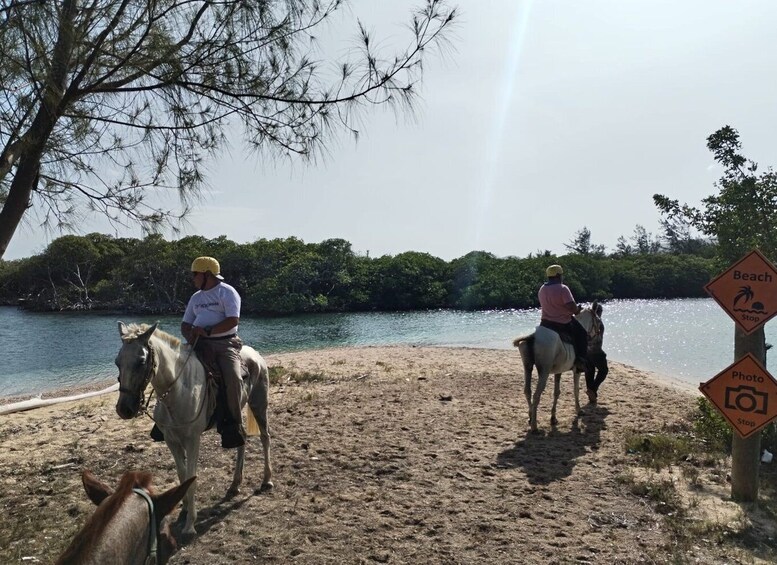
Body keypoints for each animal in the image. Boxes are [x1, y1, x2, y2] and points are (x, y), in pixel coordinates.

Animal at [113, 322, 272, 532]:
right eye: (117, 362)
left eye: (141, 361)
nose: (124, 409)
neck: (179, 390)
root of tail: (256, 355)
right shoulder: (172, 440)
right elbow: (182, 476)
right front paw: (185, 510)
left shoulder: (192, 440)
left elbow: (192, 477)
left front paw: (190, 525)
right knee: (242, 439)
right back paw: (234, 485)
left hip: (259, 404)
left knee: (265, 437)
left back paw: (267, 480)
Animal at [512, 304, 604, 432]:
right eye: (598, 321)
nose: (599, 337)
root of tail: (533, 336)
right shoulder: (577, 371)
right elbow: (576, 389)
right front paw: (579, 410)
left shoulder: (558, 372)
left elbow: (556, 393)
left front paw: (553, 418)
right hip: (544, 371)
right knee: (536, 395)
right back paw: (534, 426)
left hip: (527, 367)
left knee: (527, 391)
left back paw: (530, 418)